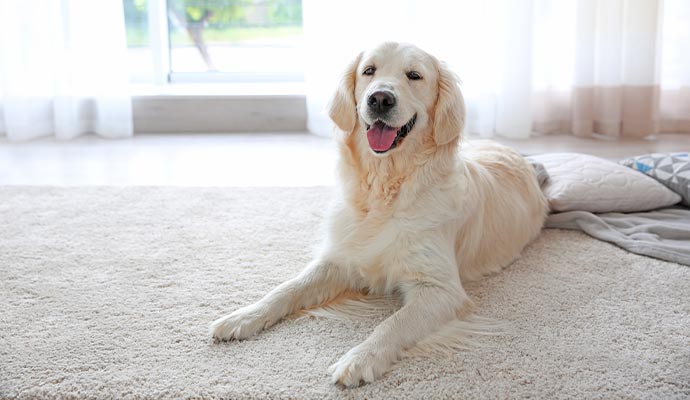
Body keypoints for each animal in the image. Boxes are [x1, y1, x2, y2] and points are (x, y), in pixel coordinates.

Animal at [212, 43, 544, 388]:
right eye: (368, 71)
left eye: (414, 75)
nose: (380, 98)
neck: (384, 189)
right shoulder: (340, 258)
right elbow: (288, 287)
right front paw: (244, 315)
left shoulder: (441, 289)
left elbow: (394, 323)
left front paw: (360, 359)